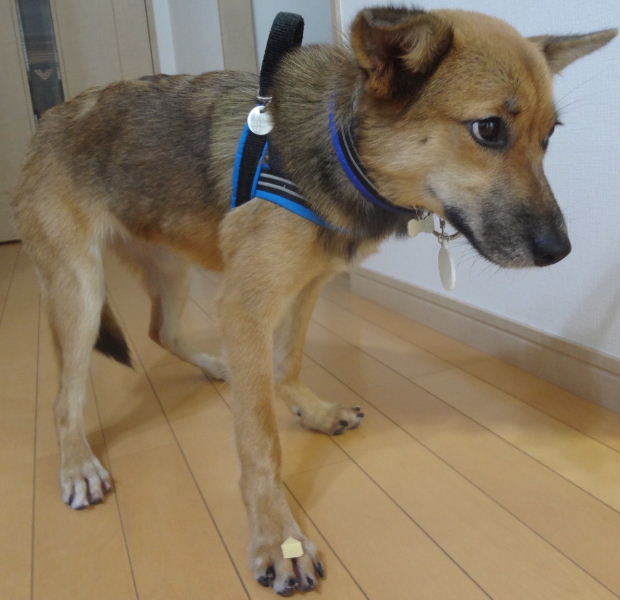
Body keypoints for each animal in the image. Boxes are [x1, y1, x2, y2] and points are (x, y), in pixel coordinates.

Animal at [10, 6, 616, 596]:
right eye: (488, 129)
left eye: (549, 136)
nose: (560, 251)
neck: (344, 146)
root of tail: (47, 122)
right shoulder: (247, 304)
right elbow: (259, 441)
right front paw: (278, 539)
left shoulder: (306, 286)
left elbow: (286, 363)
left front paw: (312, 411)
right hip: (81, 288)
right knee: (66, 396)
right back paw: (77, 464)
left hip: (172, 267)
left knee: (162, 330)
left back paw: (215, 365)